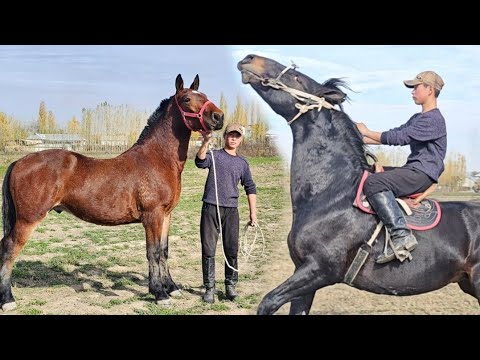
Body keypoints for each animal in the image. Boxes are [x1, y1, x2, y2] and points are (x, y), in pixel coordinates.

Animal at [0, 74, 225, 310]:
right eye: (186, 99)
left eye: (204, 95)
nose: (218, 117)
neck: (158, 159)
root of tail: (19, 162)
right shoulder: (152, 216)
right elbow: (152, 252)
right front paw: (159, 293)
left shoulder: (166, 215)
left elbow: (163, 251)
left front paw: (171, 287)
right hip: (28, 220)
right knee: (8, 249)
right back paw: (7, 300)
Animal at [238, 54, 480, 316]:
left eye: (296, 77)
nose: (249, 58)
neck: (330, 194)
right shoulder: (303, 274)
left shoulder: (319, 270)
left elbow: (267, 302)